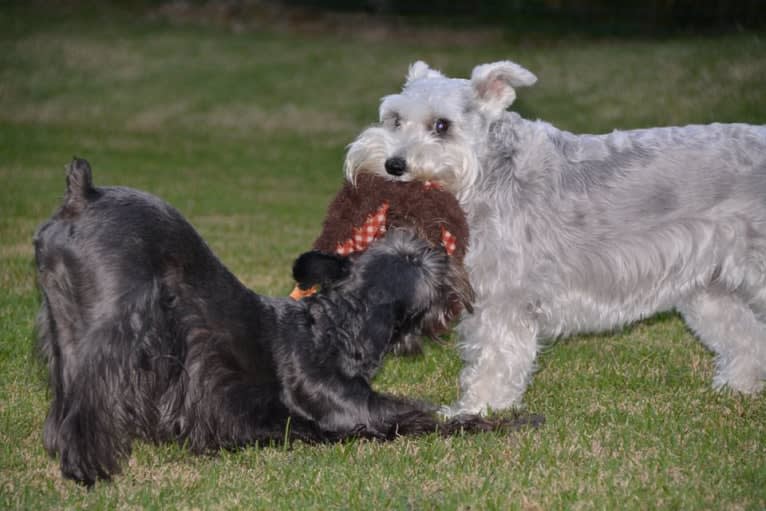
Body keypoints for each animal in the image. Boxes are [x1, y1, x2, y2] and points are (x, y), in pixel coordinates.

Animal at [34, 159, 540, 484]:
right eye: (429, 258)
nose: (450, 254)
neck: (335, 326)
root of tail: (82, 195)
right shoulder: (358, 415)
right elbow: (435, 418)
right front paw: (513, 421)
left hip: (65, 328)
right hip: (113, 323)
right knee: (89, 393)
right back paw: (87, 468)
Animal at [344, 60, 766, 416]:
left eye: (442, 126)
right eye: (394, 119)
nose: (393, 165)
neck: (487, 173)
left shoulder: (504, 299)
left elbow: (495, 359)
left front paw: (476, 410)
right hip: (709, 288)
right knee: (746, 337)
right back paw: (736, 387)